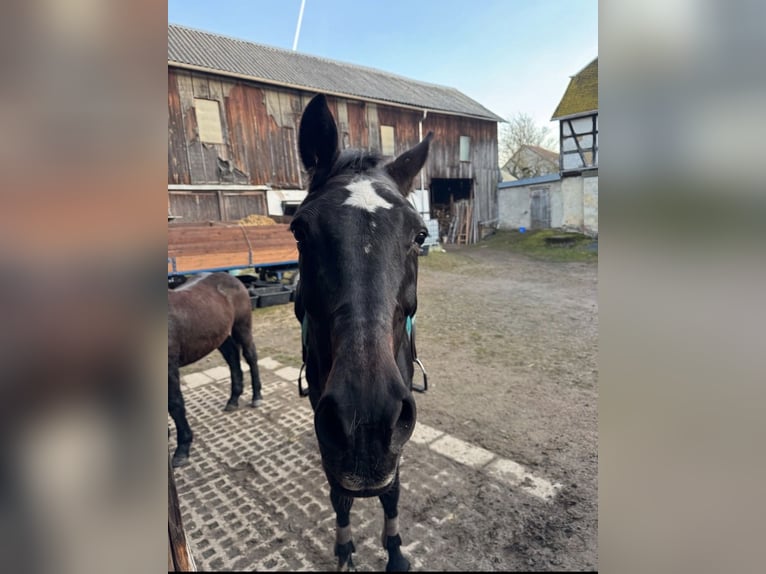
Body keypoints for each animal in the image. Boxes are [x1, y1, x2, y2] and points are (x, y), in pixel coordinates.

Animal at [168, 272, 262, 467]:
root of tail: (234, 279)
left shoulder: (169, 368)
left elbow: (175, 405)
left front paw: (182, 450)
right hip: (221, 336)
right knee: (233, 357)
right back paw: (233, 399)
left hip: (242, 327)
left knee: (250, 356)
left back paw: (256, 397)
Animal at [292, 93, 432, 571]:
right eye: (299, 231)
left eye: (420, 235)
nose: (365, 419)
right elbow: (340, 495)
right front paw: (345, 549)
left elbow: (392, 491)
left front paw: (395, 550)